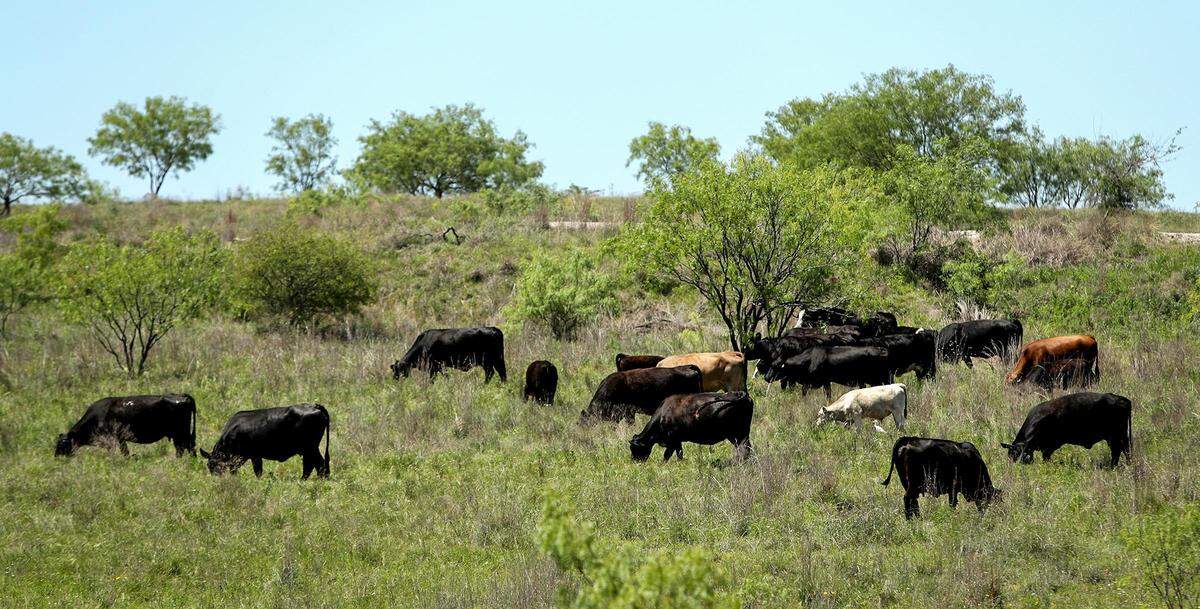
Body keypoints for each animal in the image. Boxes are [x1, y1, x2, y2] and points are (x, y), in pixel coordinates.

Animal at [55, 394, 196, 458]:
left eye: (61, 444)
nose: (56, 457)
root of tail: (182, 395)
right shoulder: (121, 439)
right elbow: (125, 452)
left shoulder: (112, 440)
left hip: (180, 433)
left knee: (186, 447)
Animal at [200, 403, 330, 479]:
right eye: (209, 466)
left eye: (212, 465)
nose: (216, 480)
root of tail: (315, 405)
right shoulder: (250, 456)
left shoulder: (250, 455)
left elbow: (255, 471)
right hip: (310, 449)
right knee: (316, 465)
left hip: (310, 448)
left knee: (316, 464)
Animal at [763, 345, 892, 399]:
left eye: (775, 366)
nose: (766, 377)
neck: (809, 359)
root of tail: (881, 349)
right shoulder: (824, 382)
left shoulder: (817, 381)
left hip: (876, 379)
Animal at [1002, 392, 1132, 468]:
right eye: (1011, 455)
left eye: (1017, 454)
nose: (1018, 466)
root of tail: (1121, 399)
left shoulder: (1048, 446)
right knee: (1125, 450)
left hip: (1115, 436)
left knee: (1118, 450)